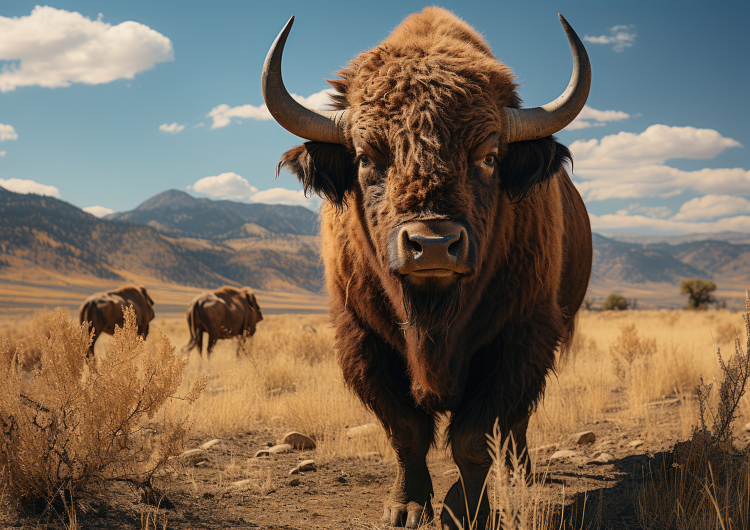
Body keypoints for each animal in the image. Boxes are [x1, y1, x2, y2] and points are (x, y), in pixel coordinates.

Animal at [264, 8, 592, 528]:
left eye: (489, 156)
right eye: (365, 157)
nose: (433, 245)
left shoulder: (521, 338)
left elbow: (474, 437)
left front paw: (466, 511)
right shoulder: (363, 340)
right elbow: (406, 432)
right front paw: (407, 507)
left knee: (517, 425)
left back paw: (521, 475)